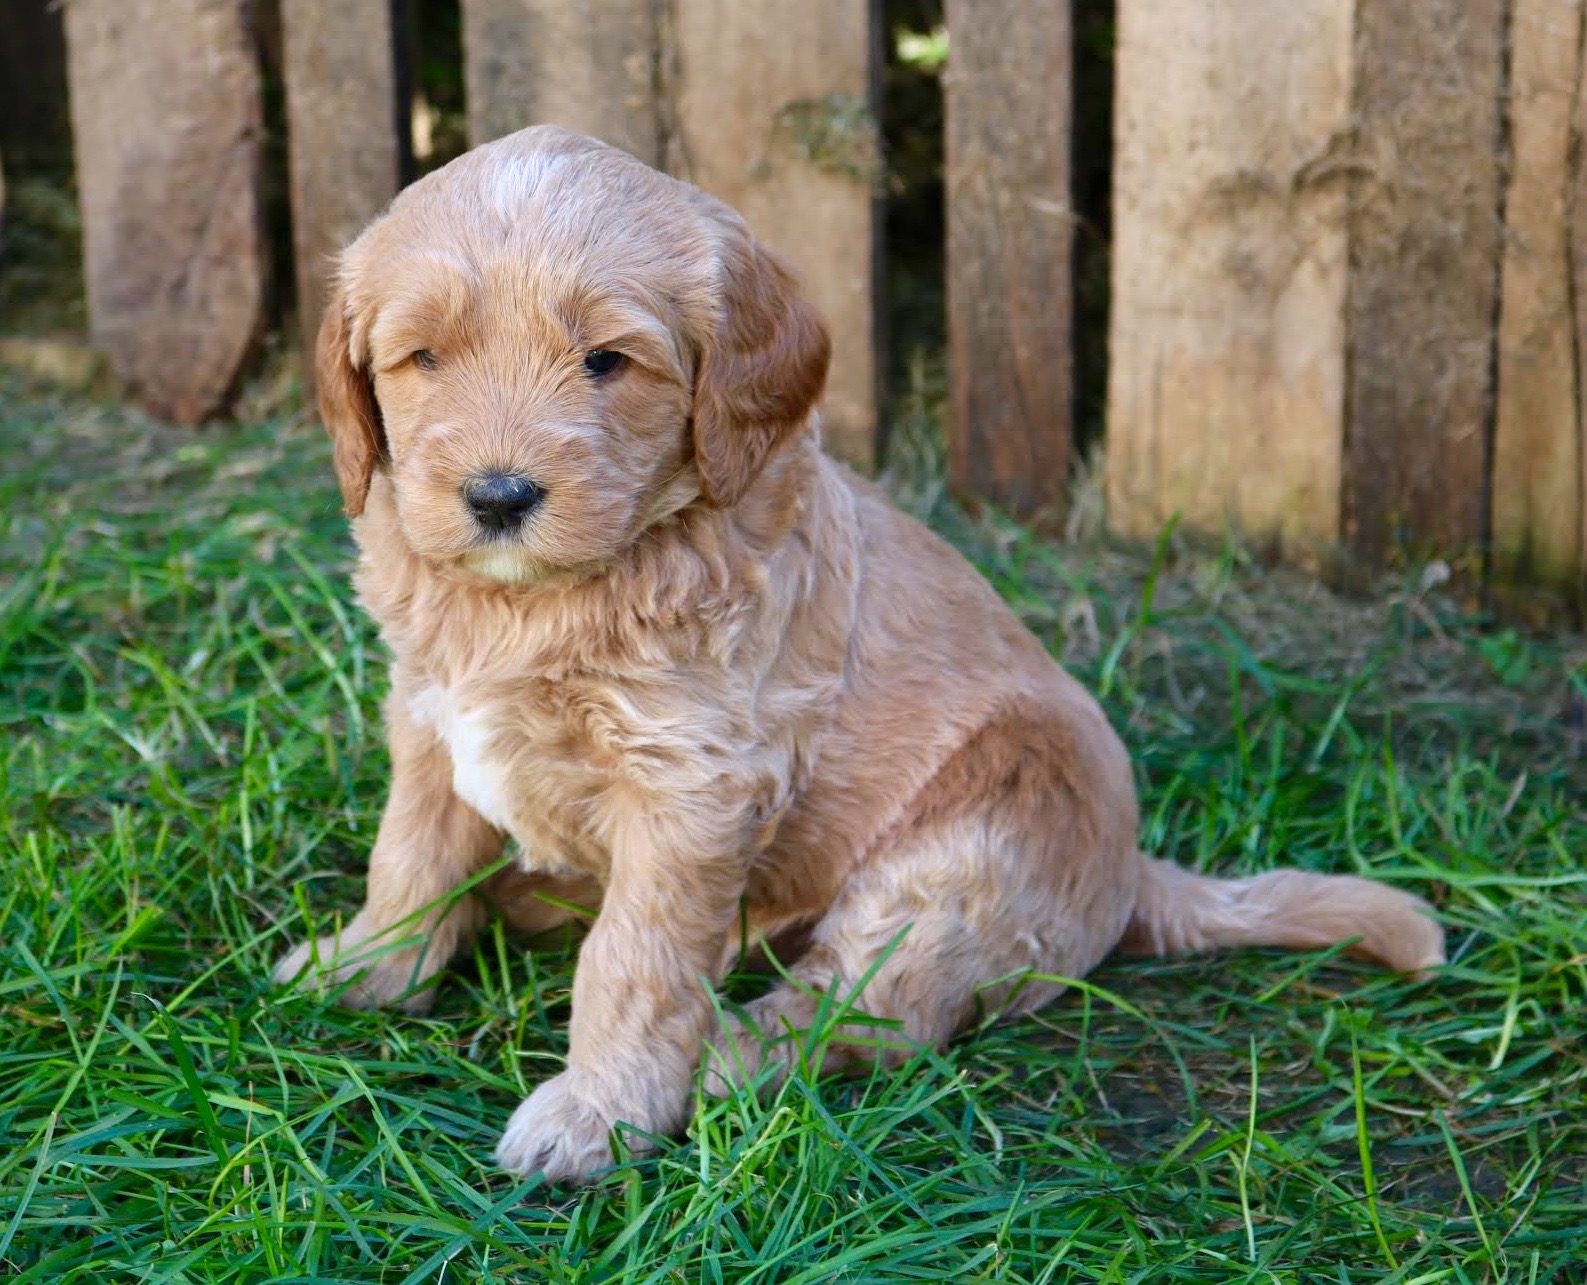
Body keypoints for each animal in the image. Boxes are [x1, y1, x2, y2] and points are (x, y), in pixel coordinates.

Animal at [276, 127, 1453, 1180]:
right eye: (423, 359)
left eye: (606, 361)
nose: (499, 496)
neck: (534, 602)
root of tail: (1129, 875)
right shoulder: (430, 711)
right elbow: (412, 853)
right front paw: (368, 965)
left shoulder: (694, 783)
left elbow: (634, 956)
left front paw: (599, 1112)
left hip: (961, 859)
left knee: (868, 1010)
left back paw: (725, 1056)